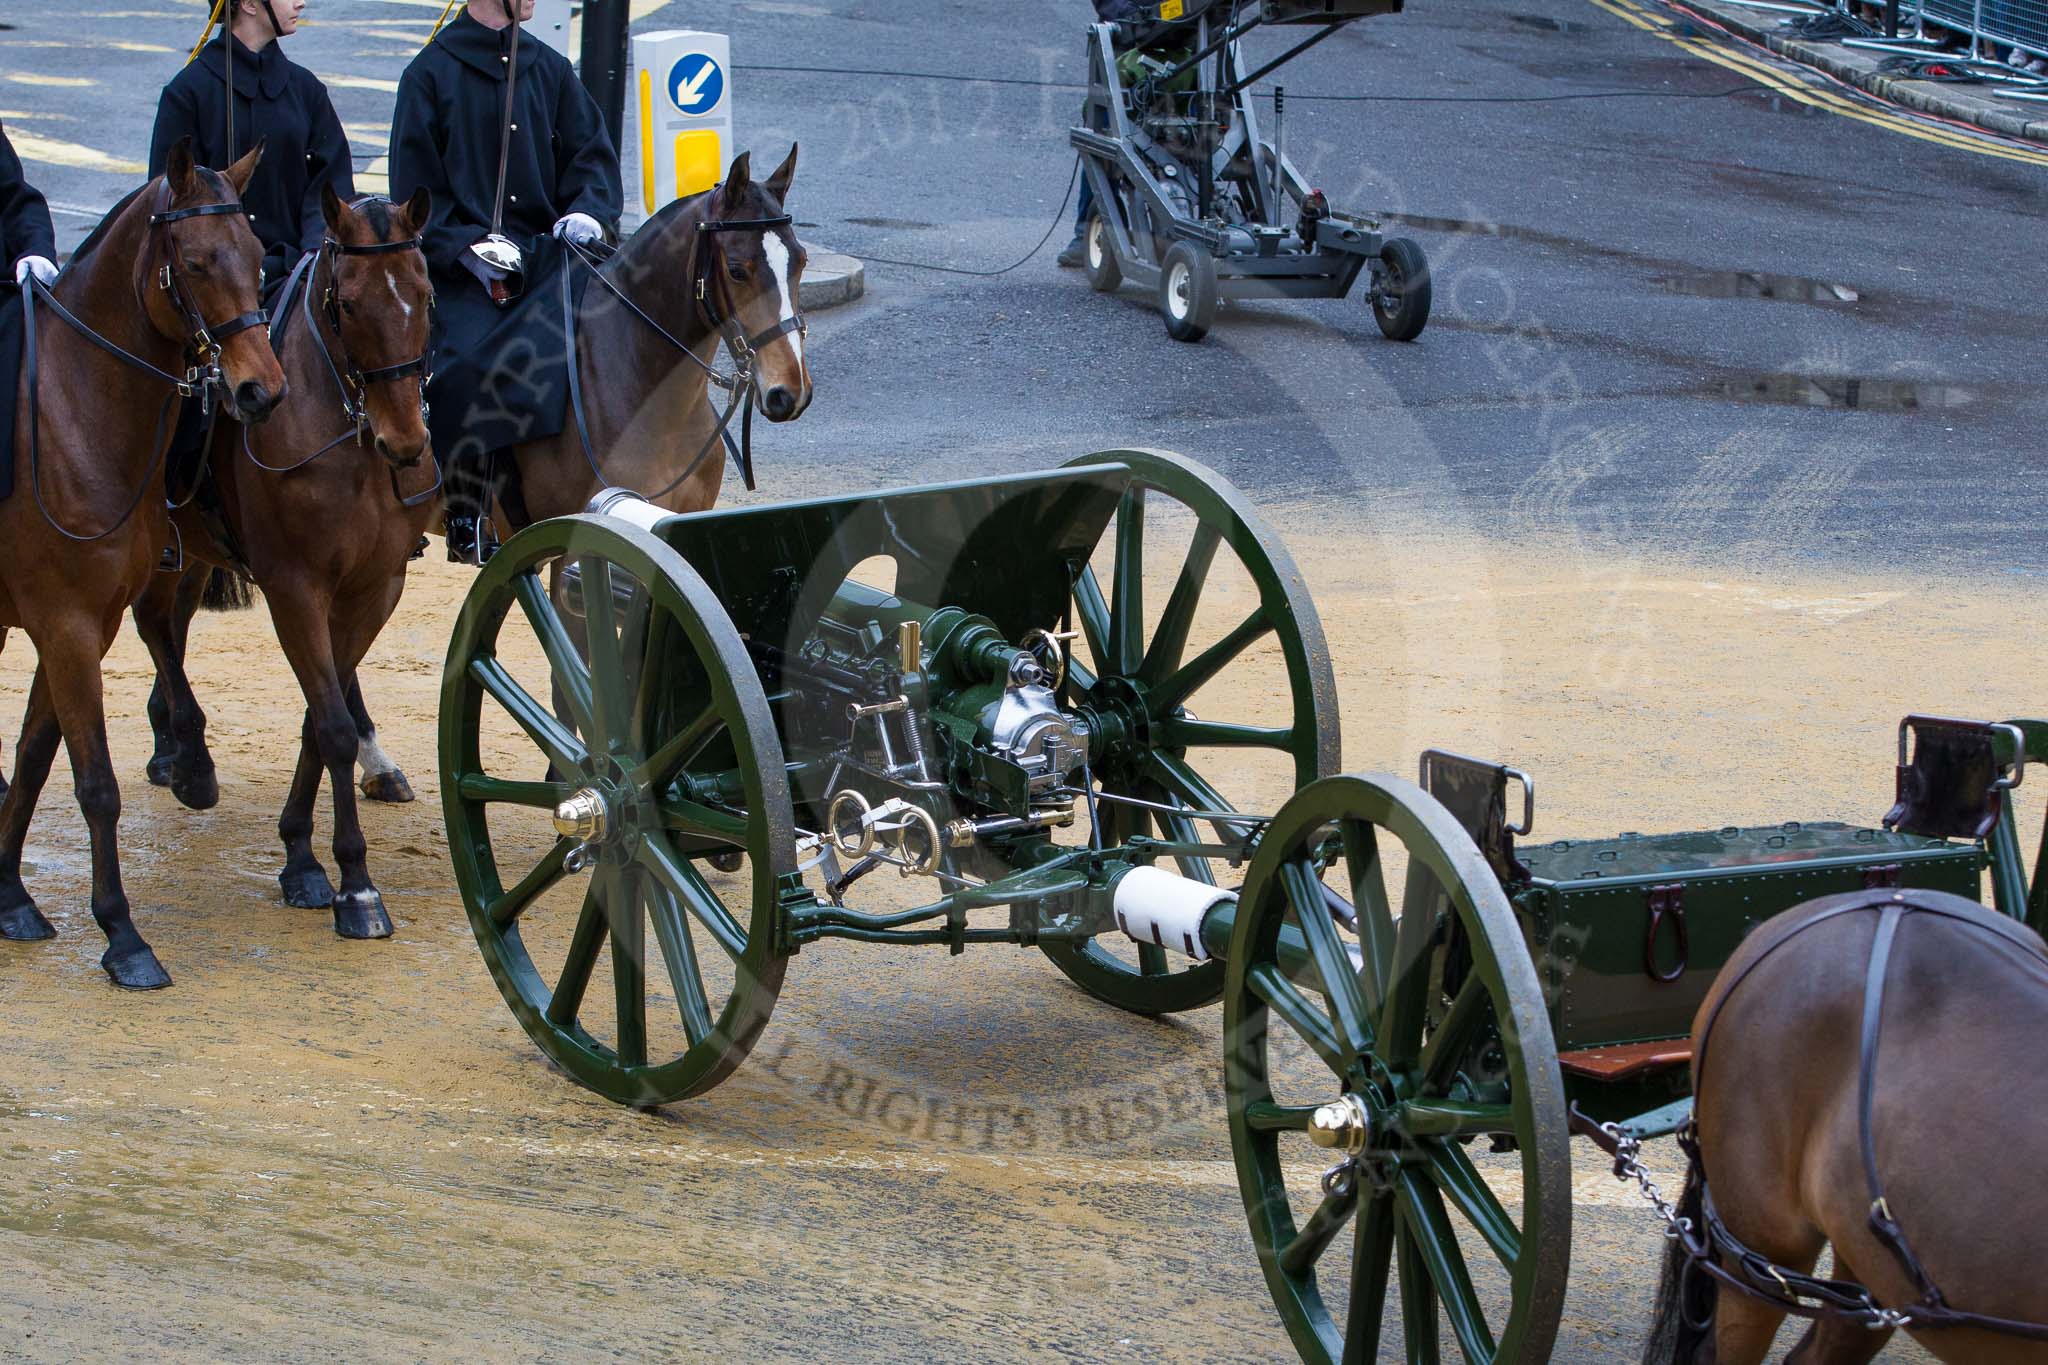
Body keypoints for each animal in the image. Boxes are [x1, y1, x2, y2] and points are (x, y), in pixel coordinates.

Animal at [0, 144, 284, 986]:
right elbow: (95, 784)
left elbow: (34, 757)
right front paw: (122, 934)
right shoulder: (63, 627)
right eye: (193, 262)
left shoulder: (76, 628)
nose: (260, 389)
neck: (72, 415)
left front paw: (9, 895)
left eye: (257, 256)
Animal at [133, 189, 436, 941]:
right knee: (152, 626)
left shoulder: (375, 588)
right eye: (347, 304)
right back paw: (189, 759)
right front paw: (353, 884)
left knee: (168, 628)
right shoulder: (296, 589)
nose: (405, 442)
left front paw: (300, 852)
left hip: (190, 555)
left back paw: (171, 745)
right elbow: (332, 724)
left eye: (425, 294)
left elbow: (317, 719)